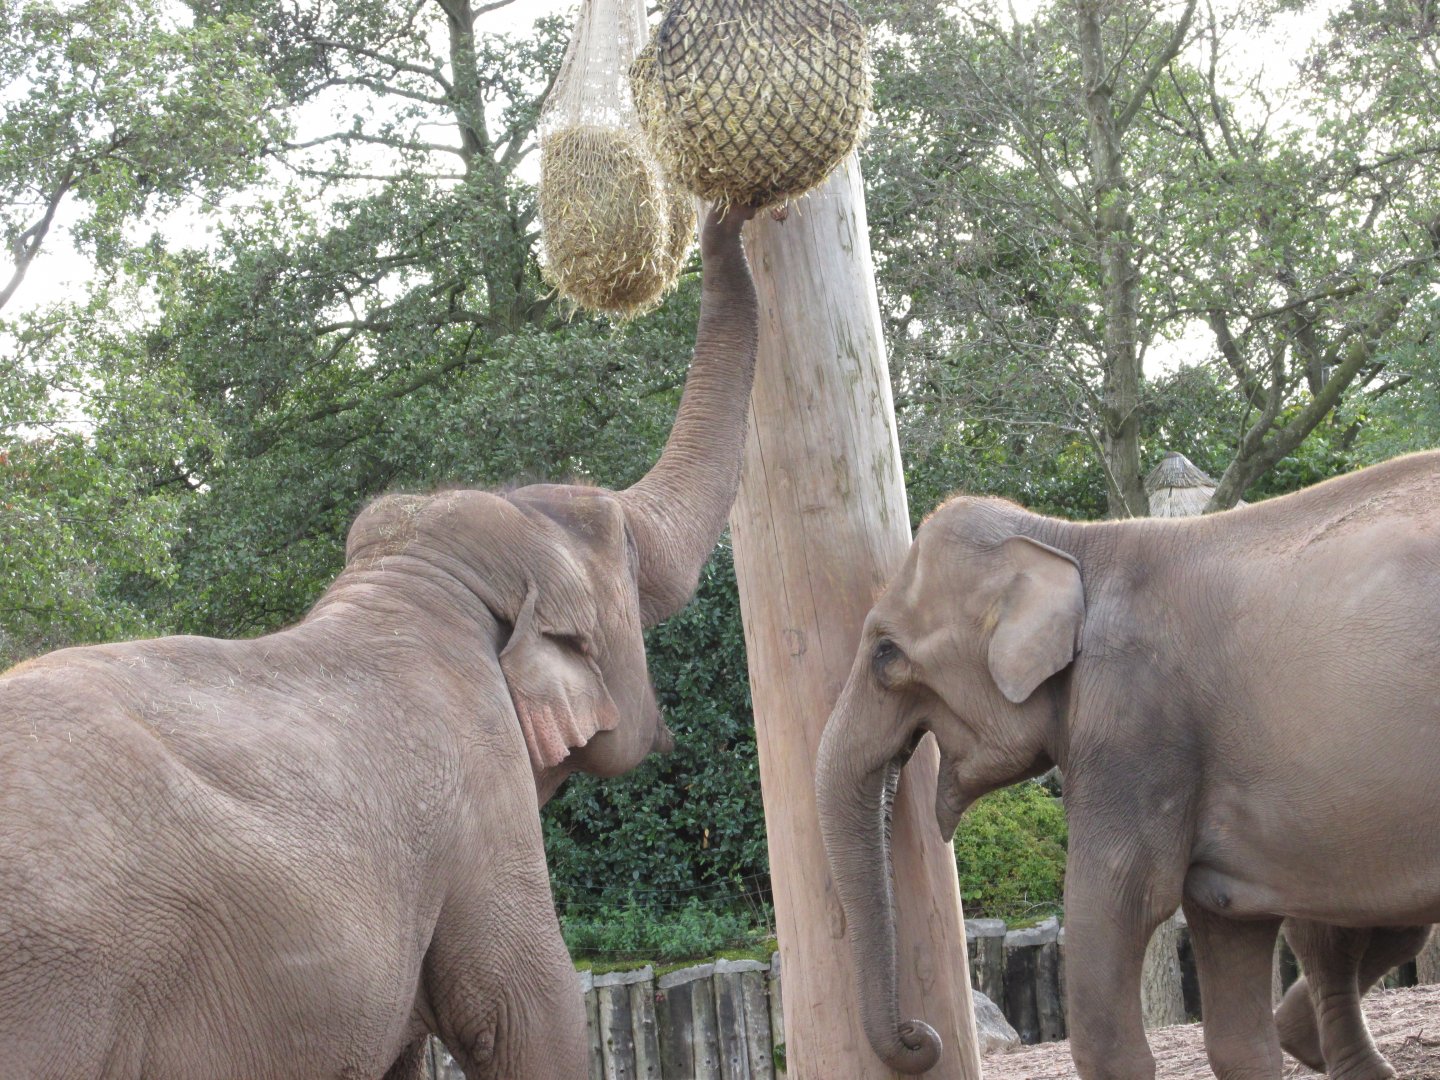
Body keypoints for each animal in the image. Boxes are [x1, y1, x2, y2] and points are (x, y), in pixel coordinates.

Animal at [0, 203, 758, 1080]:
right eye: (624, 550)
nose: (727, 211)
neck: (418, 581)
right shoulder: (481, 804)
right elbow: (525, 1017)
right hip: (59, 990)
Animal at [814, 450, 1440, 1079]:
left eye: (886, 655)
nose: (920, 1034)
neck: (1070, 540)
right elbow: (1231, 975)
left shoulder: (1135, 721)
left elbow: (1116, 904)